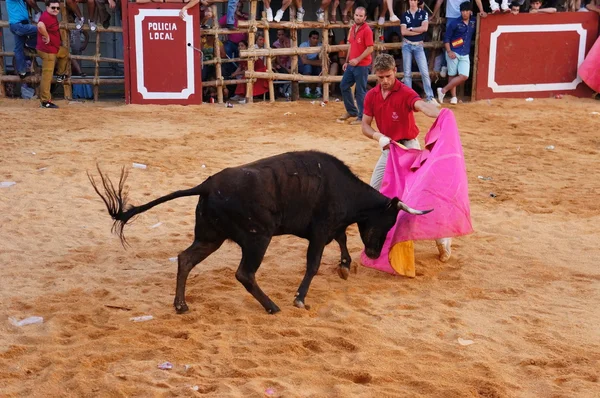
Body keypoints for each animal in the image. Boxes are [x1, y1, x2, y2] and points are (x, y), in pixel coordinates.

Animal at [89, 150, 432, 314]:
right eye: (388, 222)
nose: (374, 252)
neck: (343, 187)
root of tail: (208, 184)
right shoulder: (319, 230)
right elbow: (314, 263)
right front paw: (300, 298)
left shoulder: (326, 228)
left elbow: (343, 238)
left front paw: (346, 266)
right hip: (258, 237)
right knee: (244, 273)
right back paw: (272, 306)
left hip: (210, 237)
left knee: (185, 259)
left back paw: (181, 305)